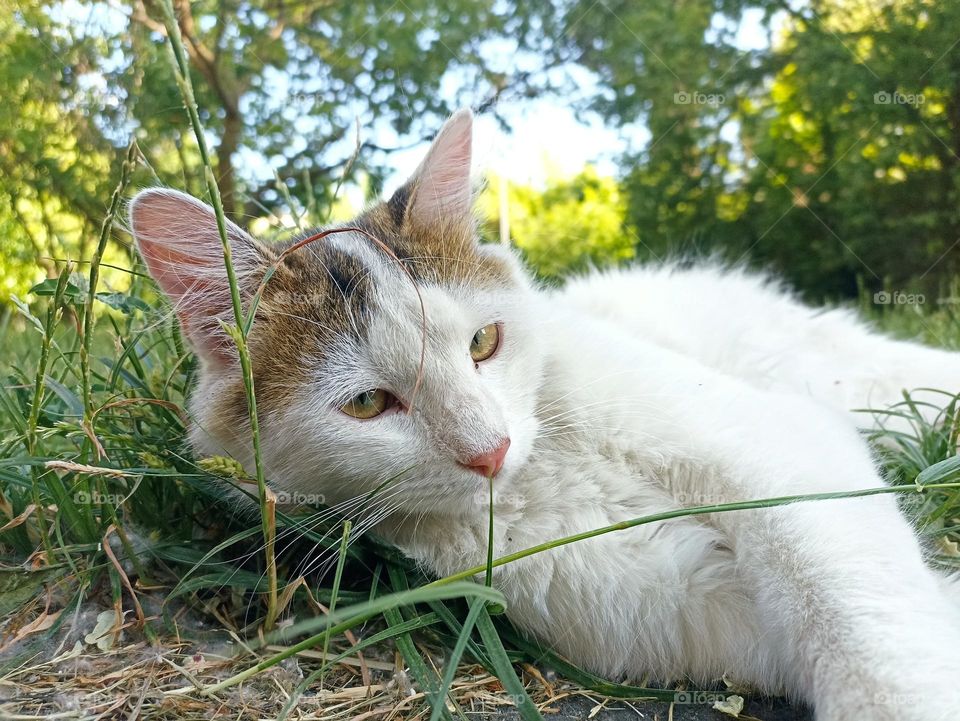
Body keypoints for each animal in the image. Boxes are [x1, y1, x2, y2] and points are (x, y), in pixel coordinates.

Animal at [129, 108, 960, 720]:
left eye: (483, 342)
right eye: (367, 403)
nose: (490, 449)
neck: (538, 478)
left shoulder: (783, 448)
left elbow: (859, 619)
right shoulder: (679, 606)